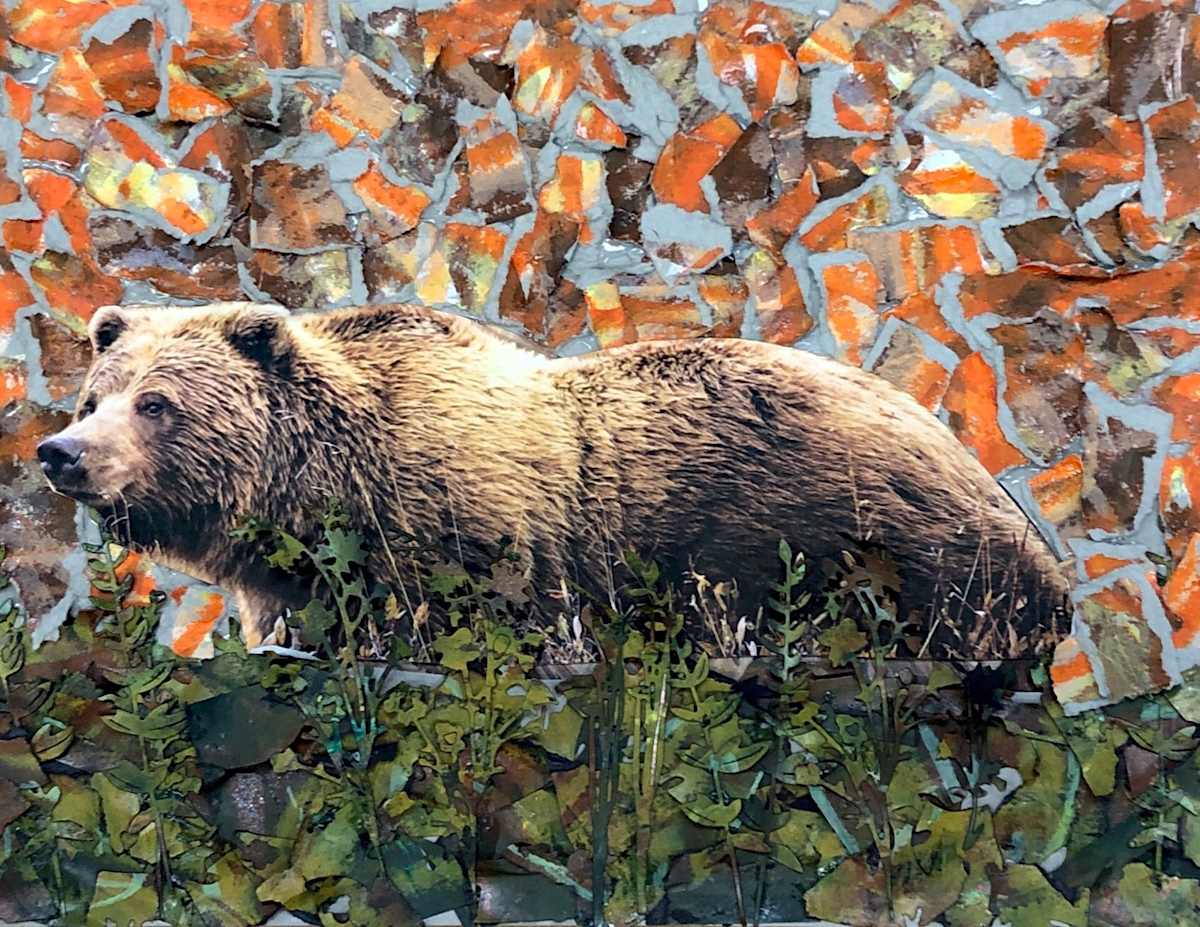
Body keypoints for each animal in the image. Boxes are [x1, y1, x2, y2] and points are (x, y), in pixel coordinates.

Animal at [36, 300, 1070, 656]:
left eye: (157, 402)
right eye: (95, 394)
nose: (61, 452)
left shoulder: (474, 528)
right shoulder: (296, 578)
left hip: (849, 525)